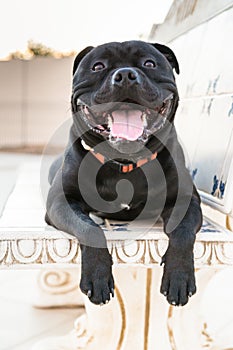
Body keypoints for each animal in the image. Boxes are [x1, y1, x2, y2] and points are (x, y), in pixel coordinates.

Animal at [45, 40, 202, 306]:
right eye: (98, 66)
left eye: (149, 63)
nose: (126, 75)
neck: (124, 163)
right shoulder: (61, 202)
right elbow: (90, 229)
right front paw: (97, 275)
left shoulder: (186, 199)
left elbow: (182, 231)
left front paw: (179, 276)